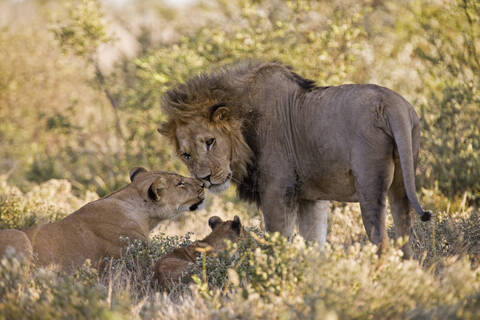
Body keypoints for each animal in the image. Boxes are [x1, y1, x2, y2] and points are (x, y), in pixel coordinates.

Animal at [158, 60, 432, 260]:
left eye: (210, 141)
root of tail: (392, 104)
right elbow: (314, 243)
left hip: (369, 185)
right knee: (405, 238)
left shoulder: (276, 192)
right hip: (401, 184)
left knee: (381, 241)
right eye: (186, 155)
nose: (204, 178)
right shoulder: (310, 198)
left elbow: (279, 241)